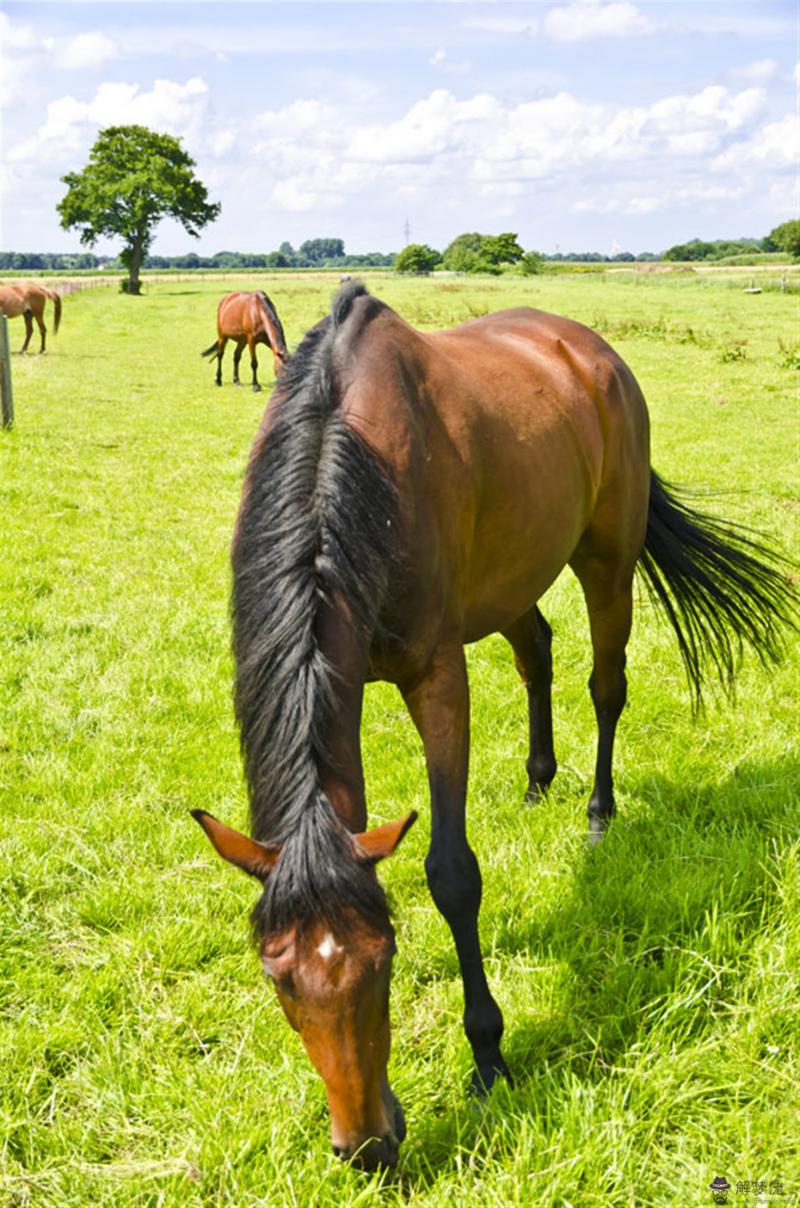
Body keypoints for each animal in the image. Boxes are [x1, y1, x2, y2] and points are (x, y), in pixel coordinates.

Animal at [190, 280, 797, 1169]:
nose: (366, 1149)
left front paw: (488, 1054)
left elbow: (450, 871)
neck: (351, 468)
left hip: (606, 559)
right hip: (514, 579)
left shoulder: (438, 676)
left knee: (606, 686)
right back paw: (540, 783)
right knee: (537, 650)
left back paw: (597, 815)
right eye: (277, 976)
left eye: (386, 959)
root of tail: (594, 351)